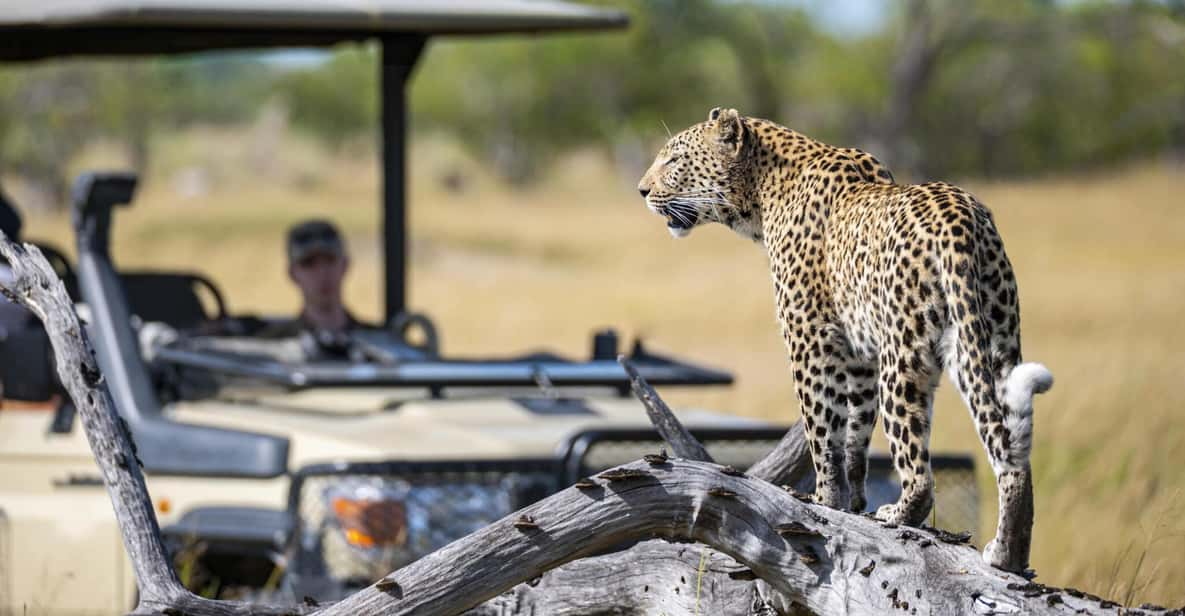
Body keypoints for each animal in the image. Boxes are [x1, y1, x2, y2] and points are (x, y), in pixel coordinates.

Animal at [639, 107, 1057, 573]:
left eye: (674, 160)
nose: (642, 190)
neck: (761, 192)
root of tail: (960, 217)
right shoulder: (860, 355)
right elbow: (855, 433)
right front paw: (852, 502)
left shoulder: (807, 338)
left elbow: (822, 427)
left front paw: (824, 499)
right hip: (992, 341)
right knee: (1010, 451)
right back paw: (1007, 553)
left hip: (904, 358)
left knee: (919, 470)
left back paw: (899, 513)